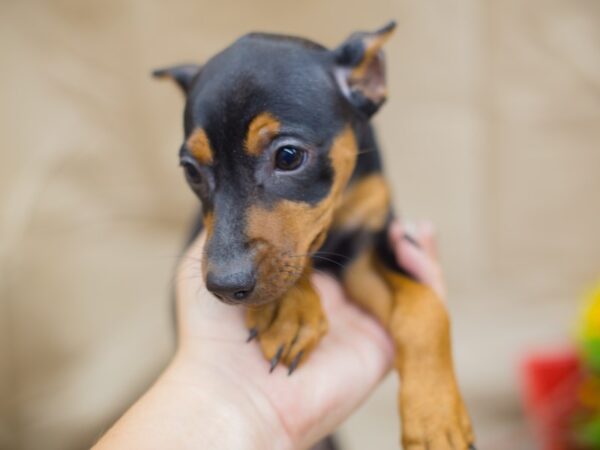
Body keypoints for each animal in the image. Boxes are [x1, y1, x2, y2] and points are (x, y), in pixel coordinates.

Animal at [156, 21, 478, 450]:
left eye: (288, 156)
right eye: (191, 171)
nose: (224, 286)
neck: (337, 214)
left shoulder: (365, 251)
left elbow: (425, 307)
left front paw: (436, 417)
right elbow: (294, 258)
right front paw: (287, 310)